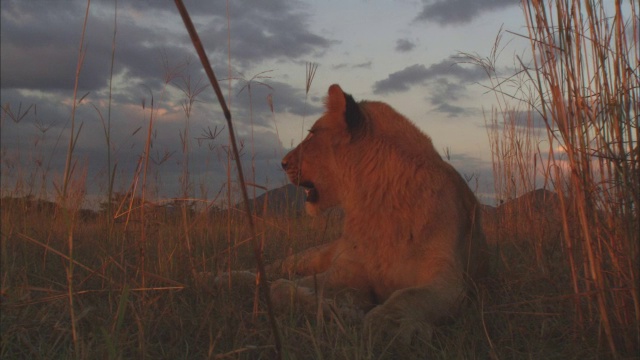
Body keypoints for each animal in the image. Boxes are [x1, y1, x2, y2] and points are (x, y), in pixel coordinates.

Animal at [268, 84, 488, 344]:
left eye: (312, 134)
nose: (282, 163)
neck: (375, 201)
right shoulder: (345, 271)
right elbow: (279, 288)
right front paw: (340, 310)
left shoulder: (449, 280)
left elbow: (407, 297)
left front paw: (386, 325)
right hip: (310, 255)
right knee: (275, 268)